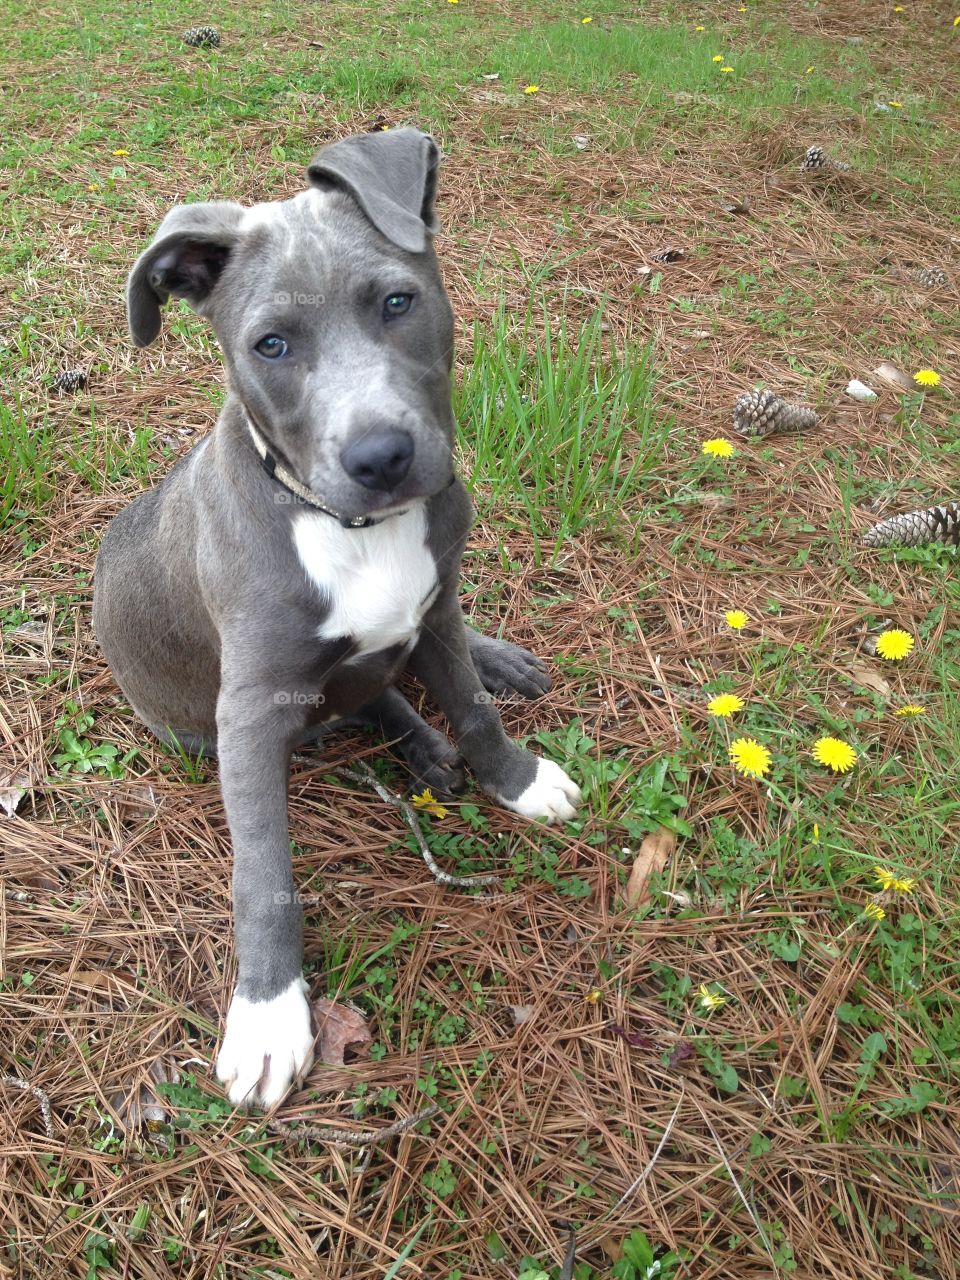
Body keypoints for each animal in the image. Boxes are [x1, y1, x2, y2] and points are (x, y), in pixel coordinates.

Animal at [94, 132, 583, 1111]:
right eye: (271, 345)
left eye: (397, 302)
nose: (381, 456)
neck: (350, 528)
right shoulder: (248, 714)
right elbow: (263, 872)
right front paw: (269, 1014)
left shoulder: (435, 603)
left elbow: (472, 706)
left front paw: (514, 778)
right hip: (212, 729)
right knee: (352, 705)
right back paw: (414, 742)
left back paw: (477, 688)